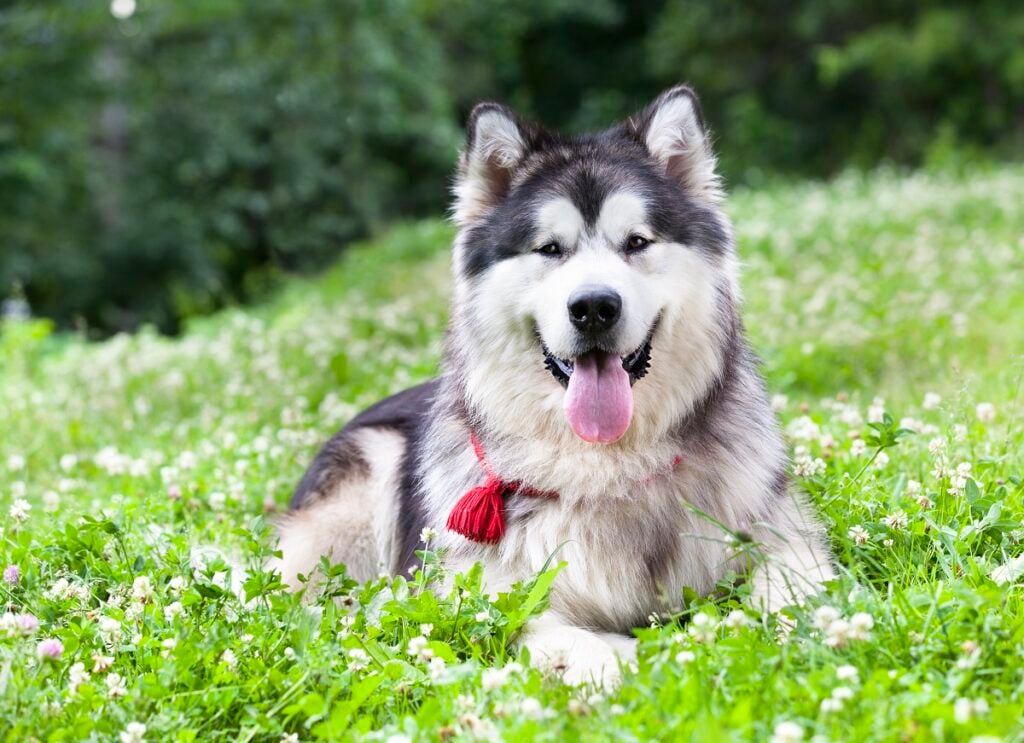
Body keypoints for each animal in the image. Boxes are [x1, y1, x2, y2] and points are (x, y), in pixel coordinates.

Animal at [278, 85, 831, 687]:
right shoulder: (482, 594)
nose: (593, 307)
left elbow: (793, 588)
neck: (605, 461)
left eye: (637, 242)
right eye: (549, 249)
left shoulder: (782, 531)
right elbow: (564, 636)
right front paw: (625, 662)